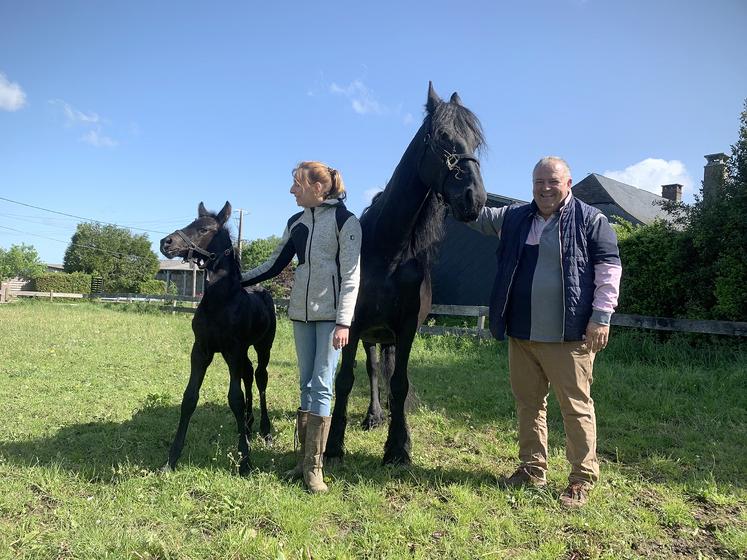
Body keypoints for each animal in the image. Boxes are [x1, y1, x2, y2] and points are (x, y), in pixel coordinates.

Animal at [159, 203, 276, 474]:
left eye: (205, 229)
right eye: (191, 223)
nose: (166, 242)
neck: (219, 303)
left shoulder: (233, 350)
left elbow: (235, 398)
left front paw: (245, 461)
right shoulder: (201, 350)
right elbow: (190, 397)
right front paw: (171, 459)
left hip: (263, 346)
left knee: (260, 377)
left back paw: (264, 430)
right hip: (243, 352)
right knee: (248, 374)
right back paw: (247, 425)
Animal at [326, 83, 488, 466]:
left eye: (475, 142)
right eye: (442, 137)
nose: (474, 199)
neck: (390, 251)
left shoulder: (406, 328)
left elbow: (399, 383)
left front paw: (398, 447)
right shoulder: (353, 325)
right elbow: (346, 379)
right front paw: (334, 444)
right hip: (370, 335)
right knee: (372, 370)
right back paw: (373, 415)